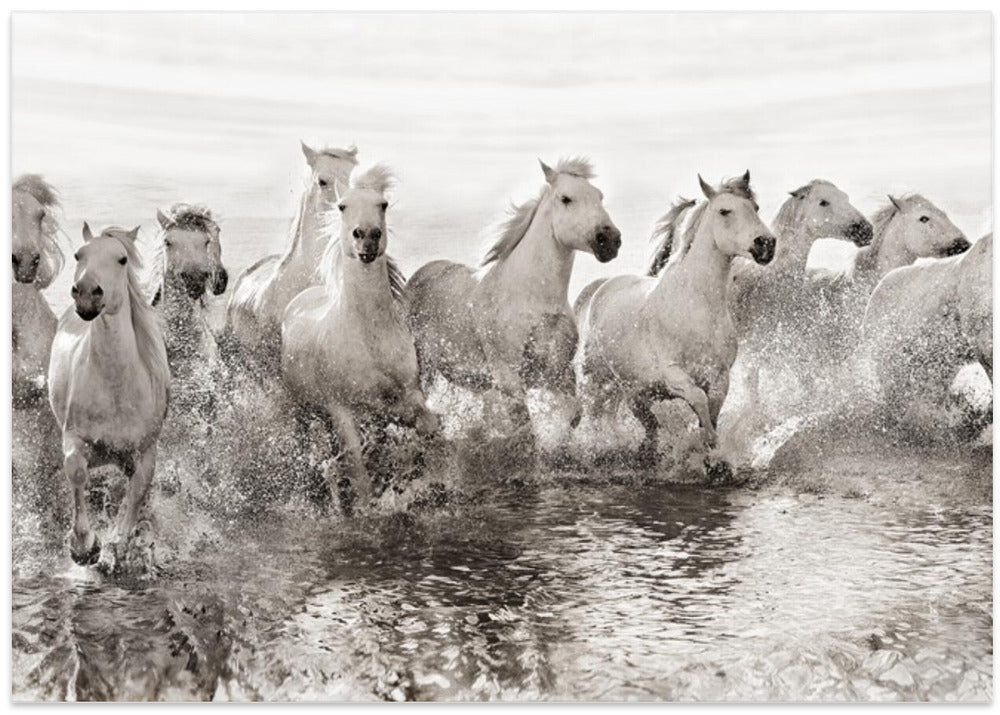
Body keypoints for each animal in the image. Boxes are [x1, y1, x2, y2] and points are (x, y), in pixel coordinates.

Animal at [48, 224, 170, 567]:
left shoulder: (145, 452)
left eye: (122, 259)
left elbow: (137, 492)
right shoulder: (75, 438)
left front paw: (118, 542)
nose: (87, 293)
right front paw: (84, 547)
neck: (116, 389)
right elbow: (76, 472)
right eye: (79, 255)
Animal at [281, 165, 438, 507]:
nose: (367, 236)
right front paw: (367, 506)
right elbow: (358, 468)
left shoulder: (407, 396)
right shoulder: (341, 411)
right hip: (302, 411)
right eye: (342, 206)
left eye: (383, 204)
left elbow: (428, 428)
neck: (368, 337)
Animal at [407, 158, 621, 442]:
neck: (533, 298)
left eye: (599, 196)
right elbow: (522, 422)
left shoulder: (557, 372)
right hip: (424, 366)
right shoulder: (508, 375)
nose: (610, 240)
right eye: (566, 198)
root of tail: (423, 272)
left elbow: (573, 413)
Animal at [575, 172, 775, 467]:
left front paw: (713, 457)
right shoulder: (673, 374)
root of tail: (600, 287)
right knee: (594, 413)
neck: (697, 307)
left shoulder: (720, 376)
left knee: (647, 425)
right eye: (724, 210)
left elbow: (711, 411)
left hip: (634, 390)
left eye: (756, 208)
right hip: (597, 379)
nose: (766, 244)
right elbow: (699, 400)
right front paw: (707, 445)